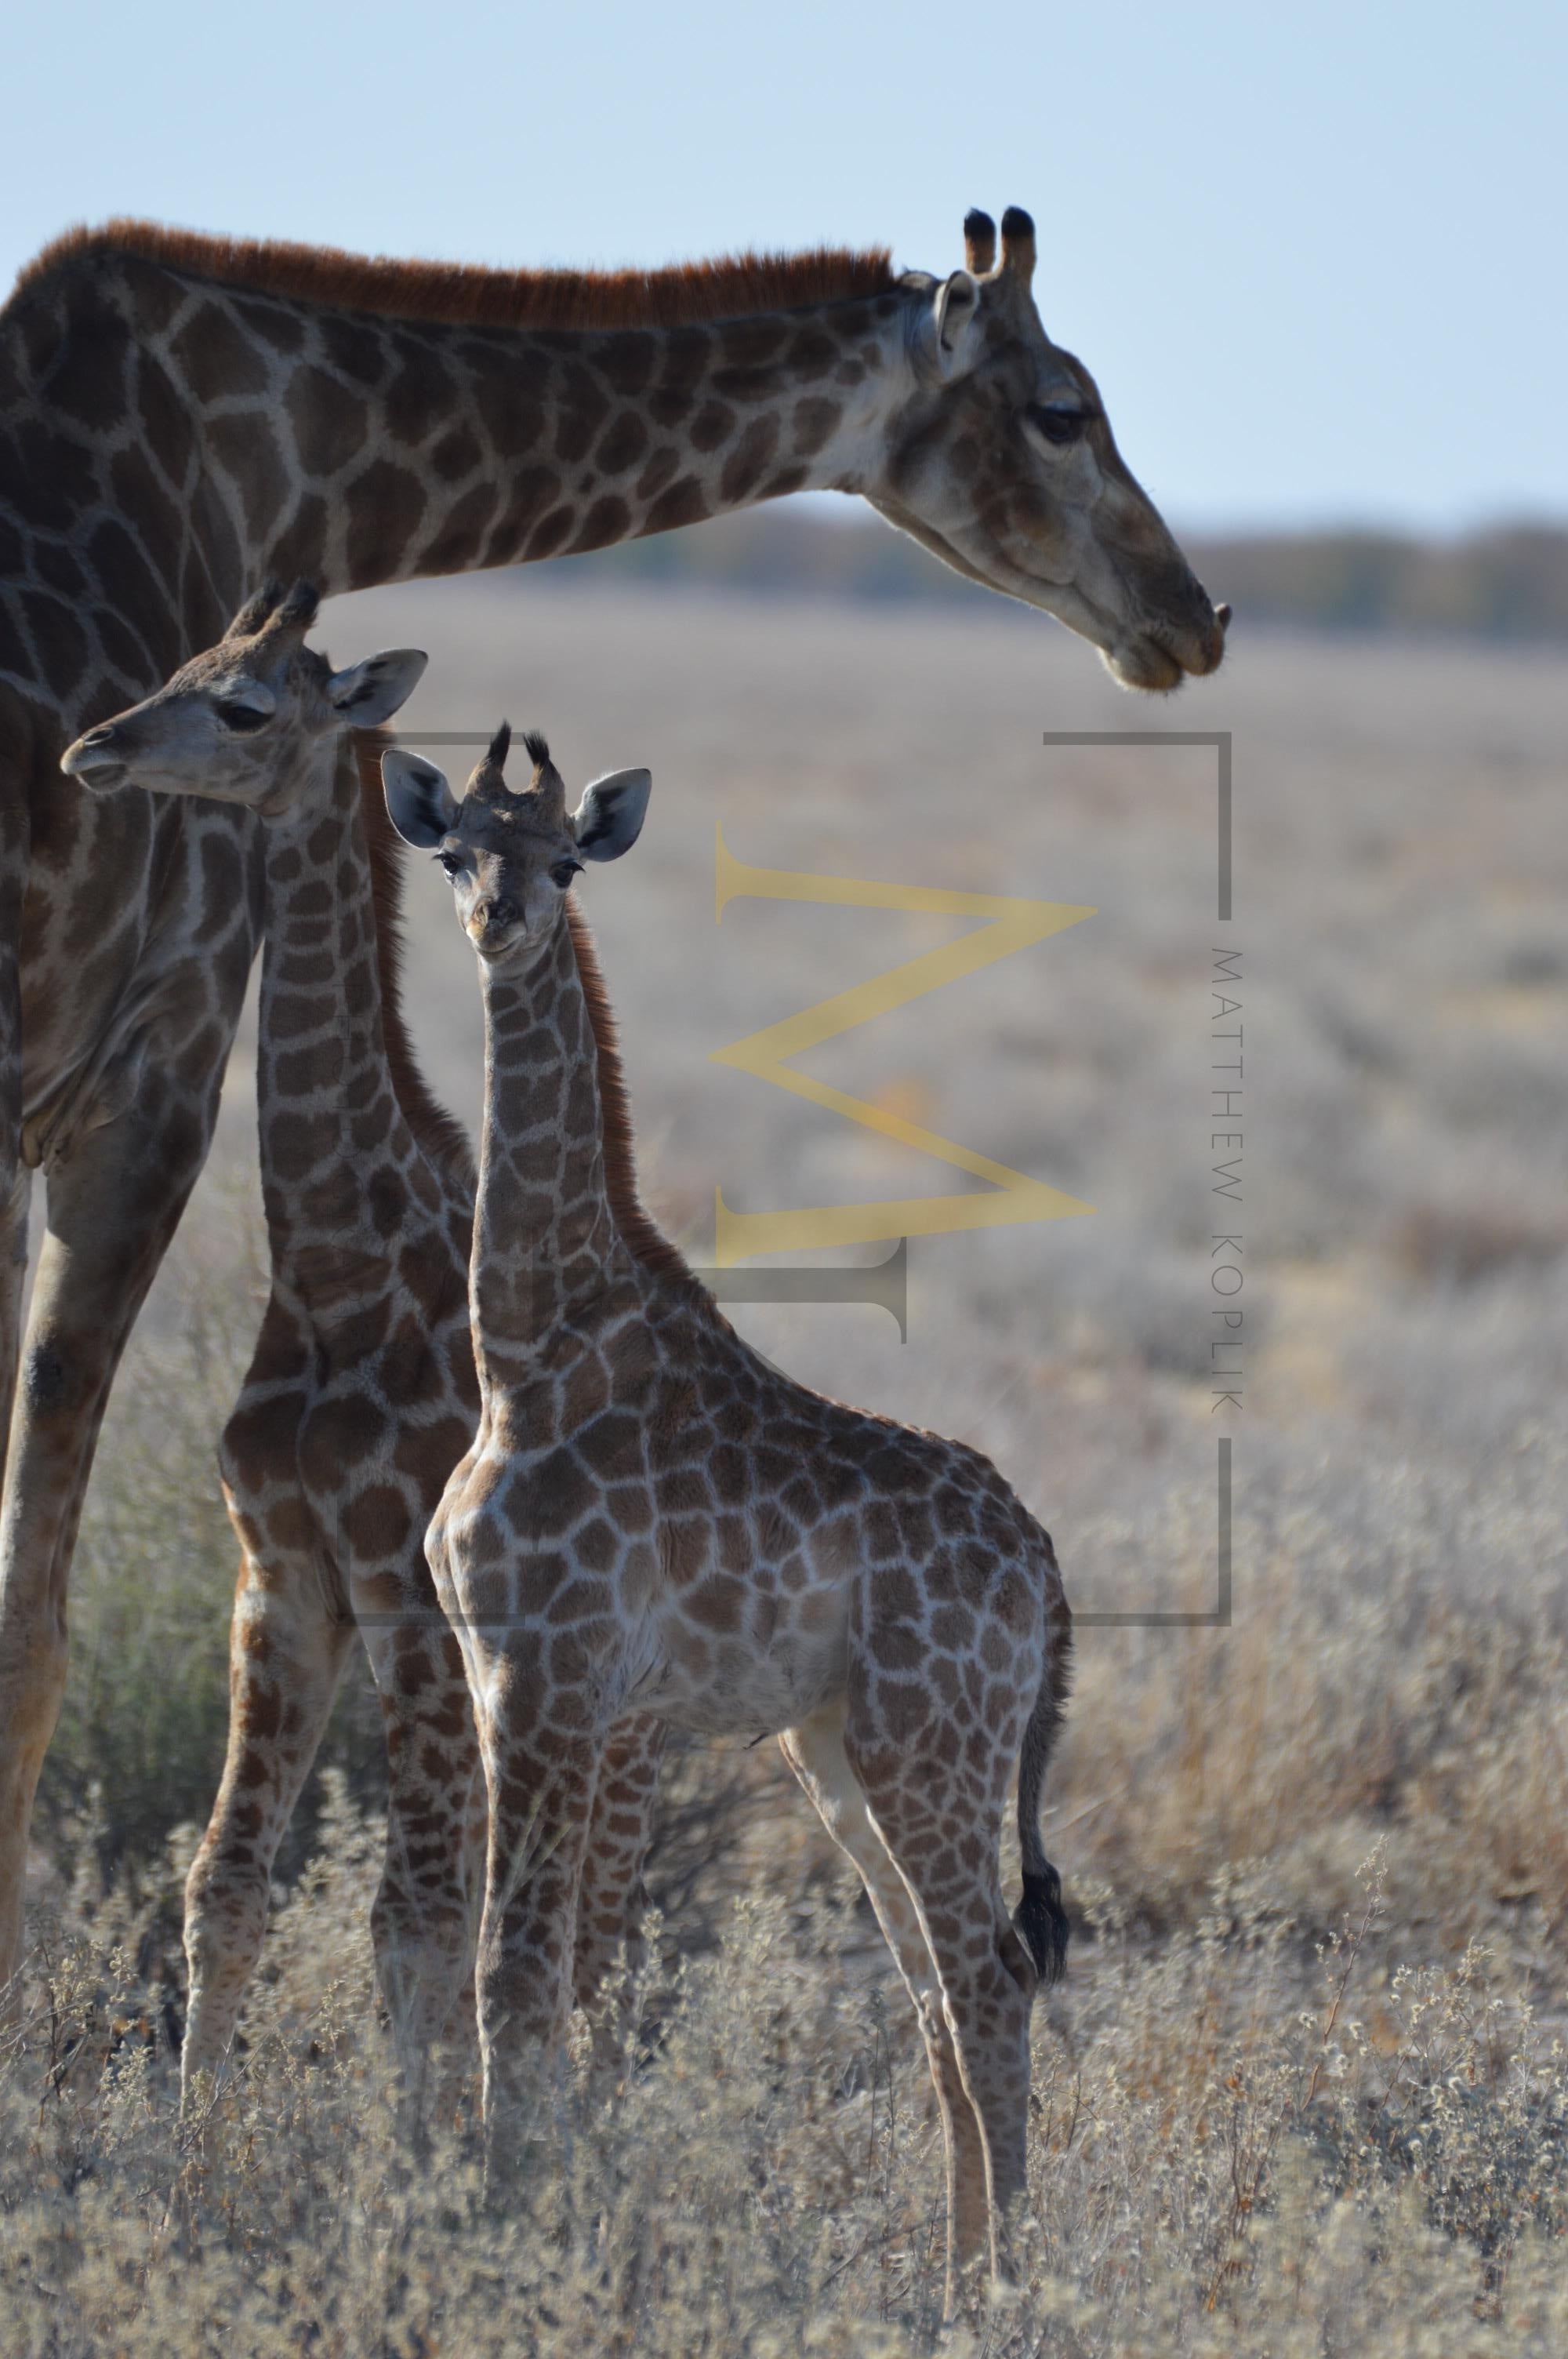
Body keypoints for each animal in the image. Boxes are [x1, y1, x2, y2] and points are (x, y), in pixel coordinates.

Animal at [61, 583, 665, 2100]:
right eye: (184, 663)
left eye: (244, 706)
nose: (94, 750)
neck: (333, 1257)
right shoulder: (278, 1575)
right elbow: (225, 1885)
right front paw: (191, 2153)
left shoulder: (406, 1596)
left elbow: (417, 1918)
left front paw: (416, 2158)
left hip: (610, 1717)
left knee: (593, 1937)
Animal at [382, 726, 1075, 2312]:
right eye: (453, 850)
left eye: (565, 859)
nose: (500, 920)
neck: (524, 1353)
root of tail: (1047, 1574)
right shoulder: (518, 1682)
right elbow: (543, 1984)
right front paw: (540, 2212)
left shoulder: (549, 1680)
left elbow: (520, 1983)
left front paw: (510, 2233)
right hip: (841, 1757)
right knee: (938, 1997)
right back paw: (953, 2279)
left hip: (933, 1742)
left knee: (991, 1979)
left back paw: (1003, 2288)